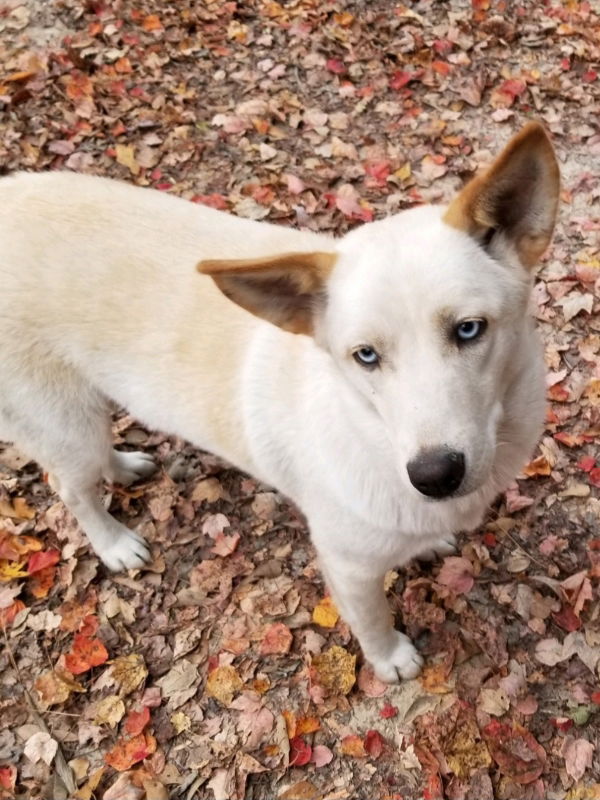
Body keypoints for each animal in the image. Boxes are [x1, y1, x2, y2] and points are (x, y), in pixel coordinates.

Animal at [0, 123, 560, 680]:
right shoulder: (349, 566)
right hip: (64, 425)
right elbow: (372, 620)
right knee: (69, 488)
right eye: (365, 356)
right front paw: (391, 661)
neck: (371, 434)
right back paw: (115, 544)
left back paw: (122, 467)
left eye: (468, 329)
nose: (434, 476)